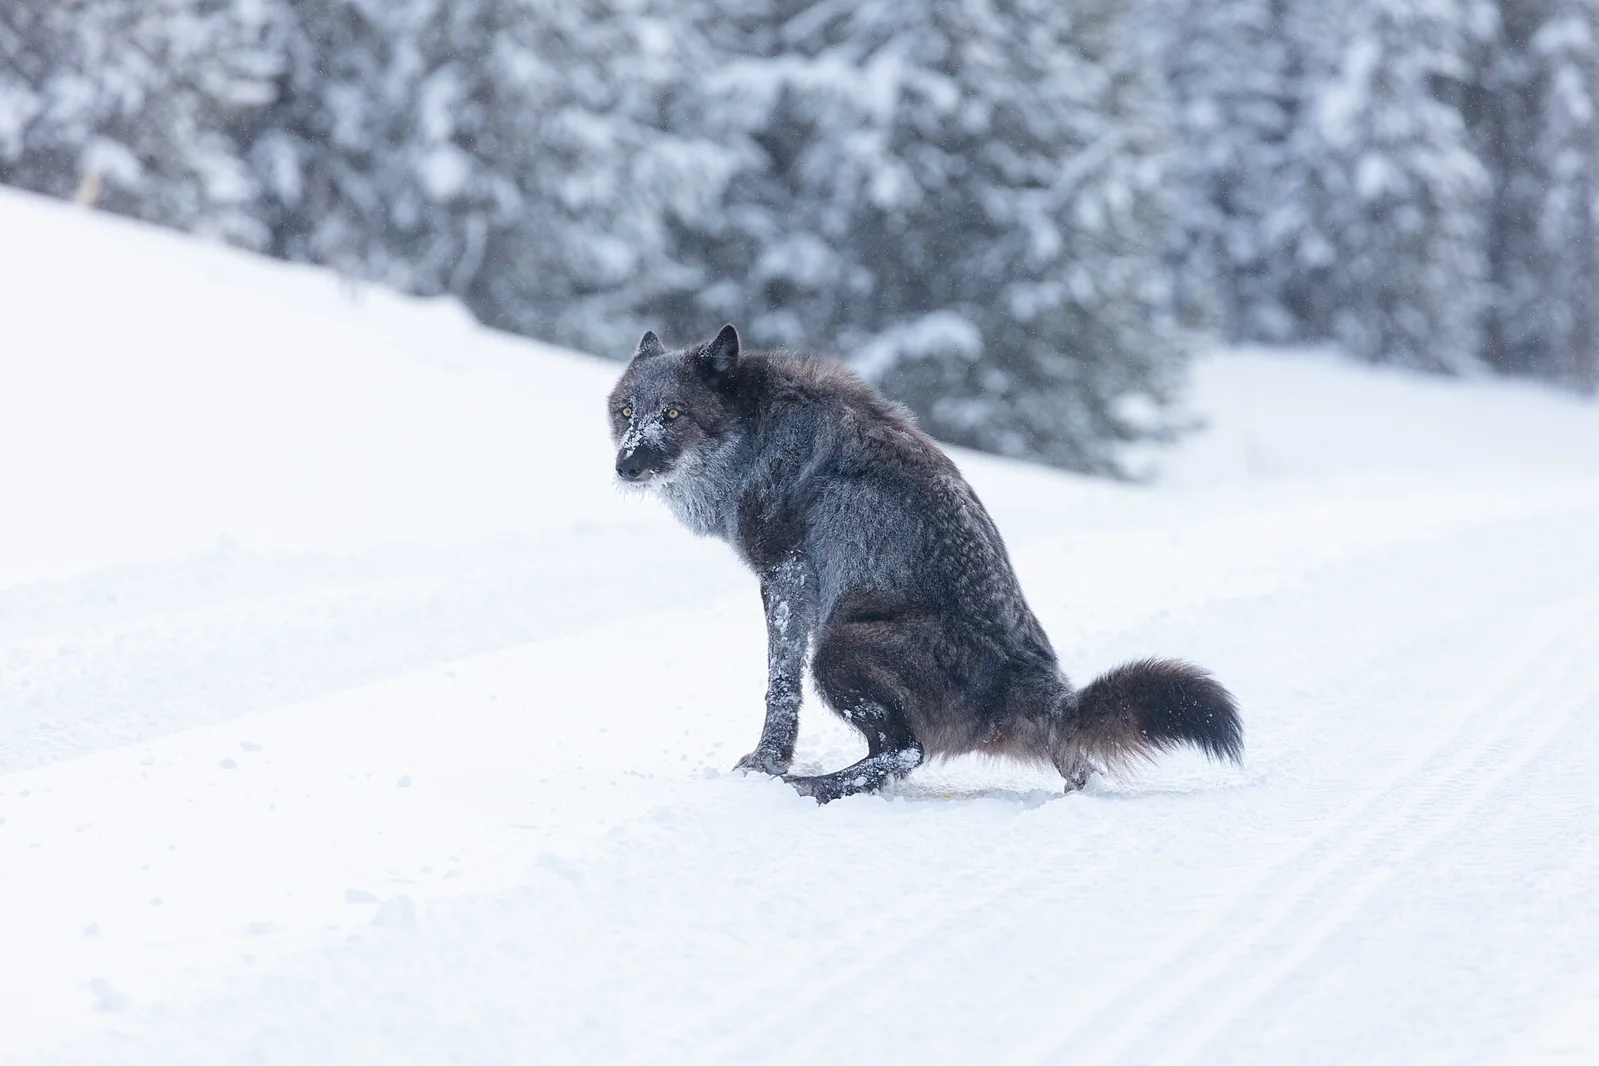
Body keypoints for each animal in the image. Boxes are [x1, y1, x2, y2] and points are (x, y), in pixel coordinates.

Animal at [608, 325, 1243, 803]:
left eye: (672, 413)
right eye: (627, 411)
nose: (625, 465)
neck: (756, 434)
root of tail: (1039, 689)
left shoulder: (785, 576)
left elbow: (778, 686)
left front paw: (766, 766)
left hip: (839, 645)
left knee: (906, 749)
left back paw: (811, 788)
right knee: (1071, 762)